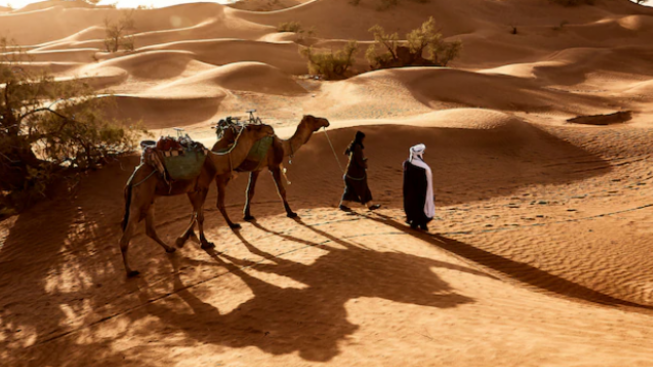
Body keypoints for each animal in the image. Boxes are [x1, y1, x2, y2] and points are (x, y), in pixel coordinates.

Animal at [119, 122, 272, 278]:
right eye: (254, 128)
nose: (270, 129)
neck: (215, 161)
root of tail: (130, 181)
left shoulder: (192, 190)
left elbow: (195, 213)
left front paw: (186, 238)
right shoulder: (203, 186)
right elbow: (200, 216)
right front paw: (204, 243)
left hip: (149, 200)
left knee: (150, 230)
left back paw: (169, 248)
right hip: (139, 198)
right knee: (126, 237)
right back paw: (131, 271)